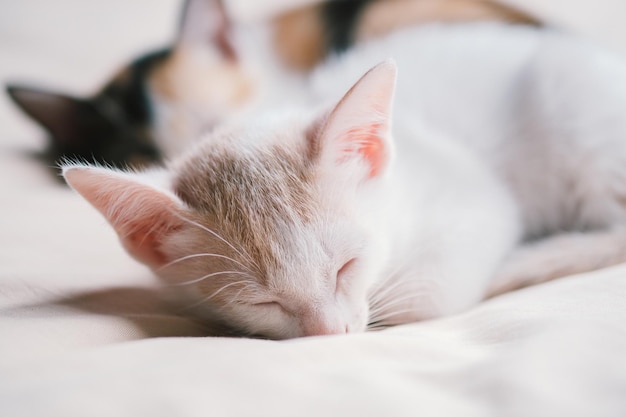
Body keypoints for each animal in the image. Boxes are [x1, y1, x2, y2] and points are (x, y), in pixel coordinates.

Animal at [62, 22, 626, 338]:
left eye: (345, 268)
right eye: (262, 302)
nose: (329, 334)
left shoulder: (477, 203)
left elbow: (427, 295)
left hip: (571, 104)